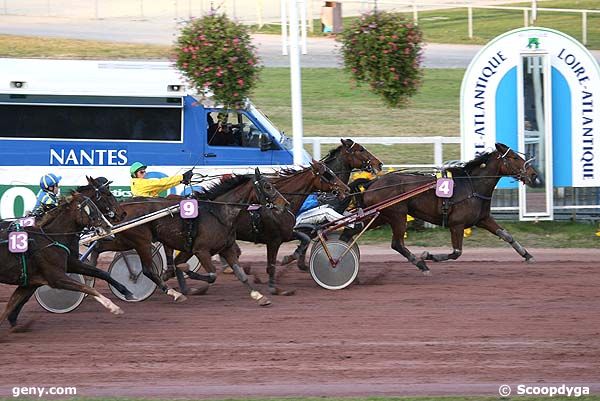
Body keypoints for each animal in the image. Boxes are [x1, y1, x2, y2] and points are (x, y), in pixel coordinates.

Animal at [344, 142, 540, 274]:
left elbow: (506, 235)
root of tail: (372, 183)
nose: (533, 174)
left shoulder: (483, 219)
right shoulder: (457, 225)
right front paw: (428, 256)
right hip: (397, 215)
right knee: (397, 243)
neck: (472, 186)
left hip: (379, 216)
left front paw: (527, 255)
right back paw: (421, 264)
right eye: (514, 157)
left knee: (350, 231)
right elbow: (456, 253)